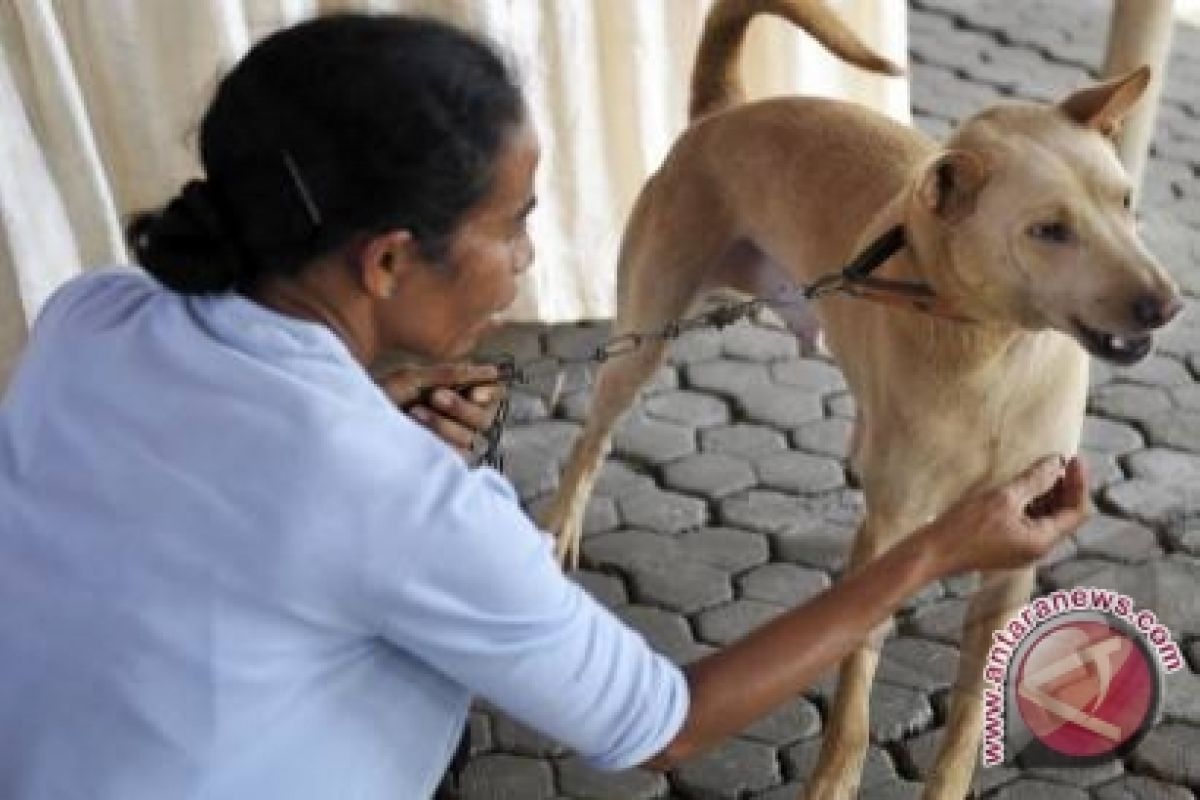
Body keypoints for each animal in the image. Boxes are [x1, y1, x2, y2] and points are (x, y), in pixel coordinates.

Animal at [544, 3, 1180, 796]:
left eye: (1125, 202)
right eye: (1049, 231)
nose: (1166, 306)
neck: (996, 354)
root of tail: (727, 110)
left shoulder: (1013, 557)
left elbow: (966, 718)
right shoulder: (893, 542)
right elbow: (853, 690)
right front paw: (833, 779)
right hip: (643, 337)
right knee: (590, 437)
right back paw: (559, 528)